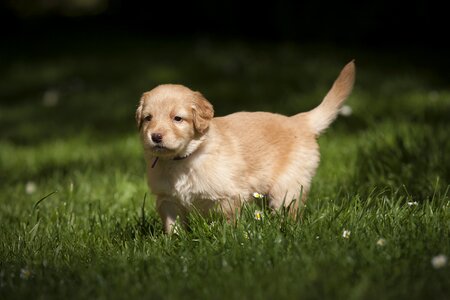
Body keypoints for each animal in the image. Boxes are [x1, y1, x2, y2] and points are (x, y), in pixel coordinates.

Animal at [135, 60, 354, 232]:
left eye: (178, 119)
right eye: (148, 118)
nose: (155, 136)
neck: (183, 159)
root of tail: (299, 120)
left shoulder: (229, 197)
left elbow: (230, 224)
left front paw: (228, 239)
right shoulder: (167, 200)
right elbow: (173, 227)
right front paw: (173, 244)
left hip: (287, 187)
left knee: (290, 211)